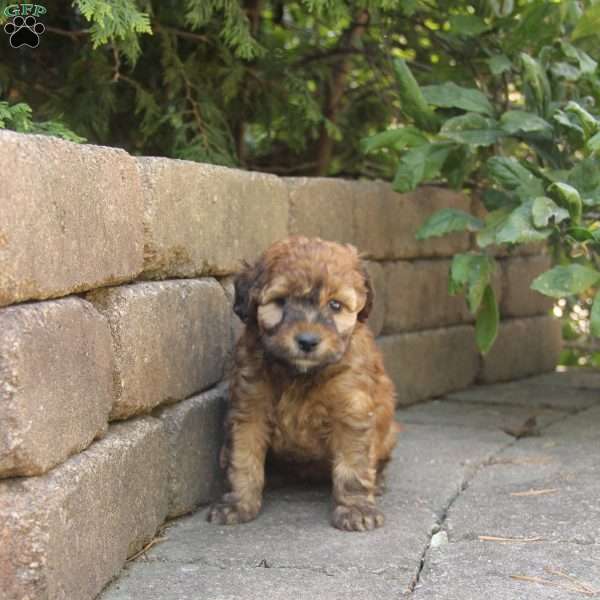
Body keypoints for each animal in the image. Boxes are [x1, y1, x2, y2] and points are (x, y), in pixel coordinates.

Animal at [207, 237, 398, 532]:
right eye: (280, 301)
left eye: (335, 305)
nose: (307, 341)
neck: (299, 375)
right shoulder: (249, 409)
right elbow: (243, 459)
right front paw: (237, 504)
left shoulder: (351, 411)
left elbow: (354, 465)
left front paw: (356, 509)